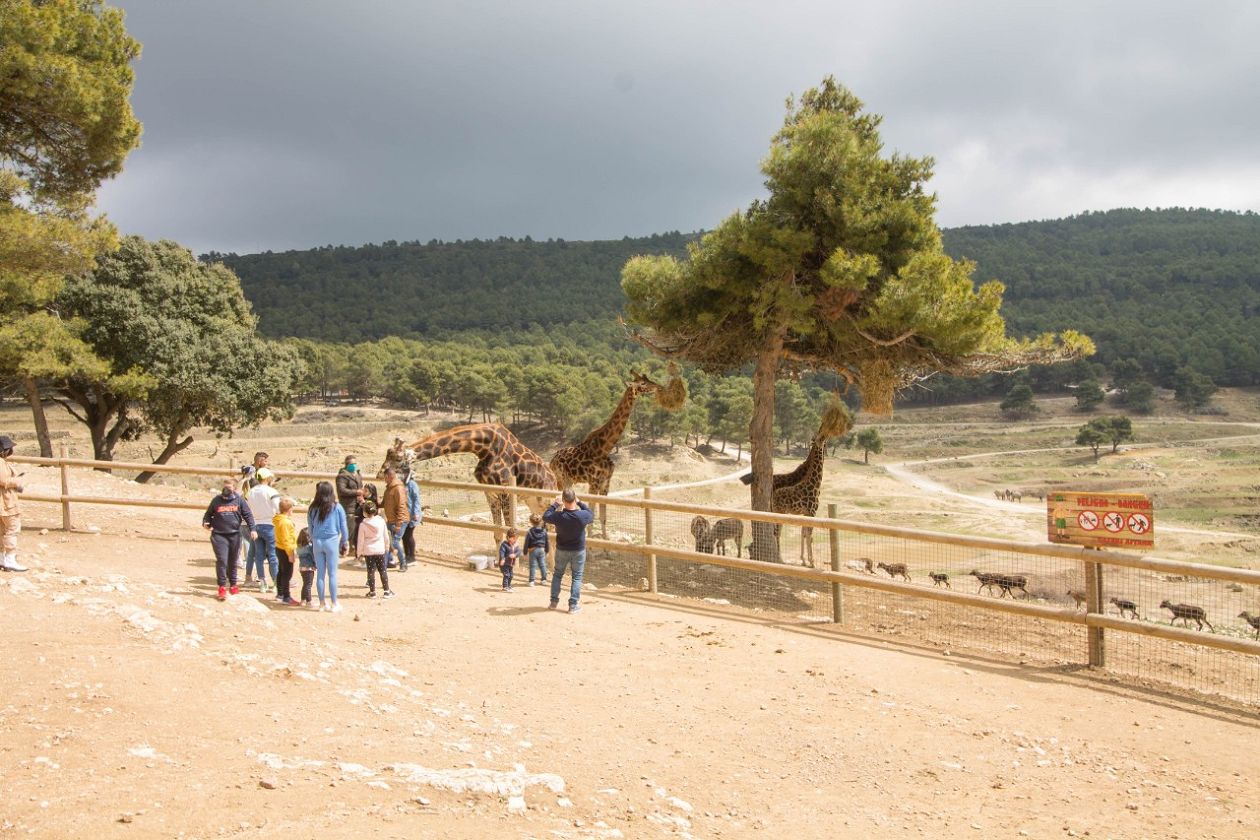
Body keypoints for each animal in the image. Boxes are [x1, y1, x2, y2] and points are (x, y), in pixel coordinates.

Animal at [378, 423, 556, 528]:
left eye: (398, 458)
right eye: (387, 454)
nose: (379, 474)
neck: (483, 447)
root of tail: (554, 480)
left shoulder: (506, 490)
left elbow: (508, 528)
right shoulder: (489, 491)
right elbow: (497, 531)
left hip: (545, 501)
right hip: (533, 502)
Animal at [551, 372, 670, 503]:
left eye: (647, 379)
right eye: (643, 383)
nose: (659, 387)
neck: (605, 448)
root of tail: (551, 460)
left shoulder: (606, 483)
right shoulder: (594, 483)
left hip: (569, 480)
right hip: (562, 479)